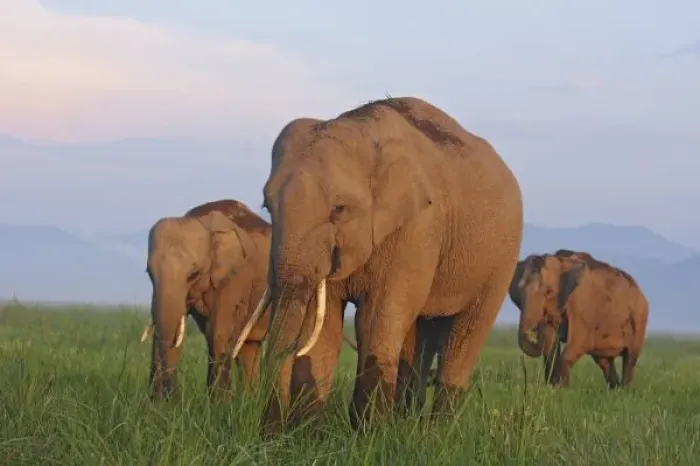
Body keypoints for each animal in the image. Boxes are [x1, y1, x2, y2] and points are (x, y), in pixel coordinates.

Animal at [231, 96, 524, 433]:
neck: (362, 128)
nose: (268, 433)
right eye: (267, 206)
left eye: (339, 209)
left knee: (466, 335)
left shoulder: (418, 227)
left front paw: (368, 435)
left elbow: (375, 317)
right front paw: (309, 436)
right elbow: (324, 324)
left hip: (501, 258)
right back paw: (407, 425)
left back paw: (437, 434)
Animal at [510, 249, 649, 388]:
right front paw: (553, 387)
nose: (534, 332)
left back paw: (624, 390)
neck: (561, 261)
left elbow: (578, 342)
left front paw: (560, 388)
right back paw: (615, 389)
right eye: (520, 290)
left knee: (630, 359)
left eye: (548, 291)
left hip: (639, 319)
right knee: (604, 361)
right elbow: (551, 347)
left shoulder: (582, 307)